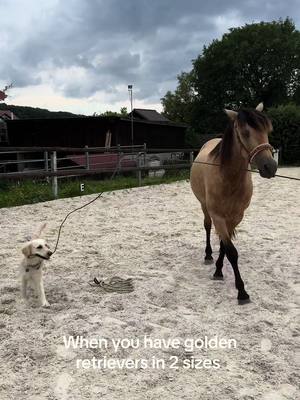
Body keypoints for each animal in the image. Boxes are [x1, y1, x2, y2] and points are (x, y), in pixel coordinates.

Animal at [191, 102, 278, 304]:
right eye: (245, 133)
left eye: (268, 129)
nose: (270, 167)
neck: (228, 178)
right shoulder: (218, 216)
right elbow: (232, 251)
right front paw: (242, 291)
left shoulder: (236, 217)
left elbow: (226, 245)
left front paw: (218, 270)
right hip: (204, 206)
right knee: (207, 226)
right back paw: (208, 254)